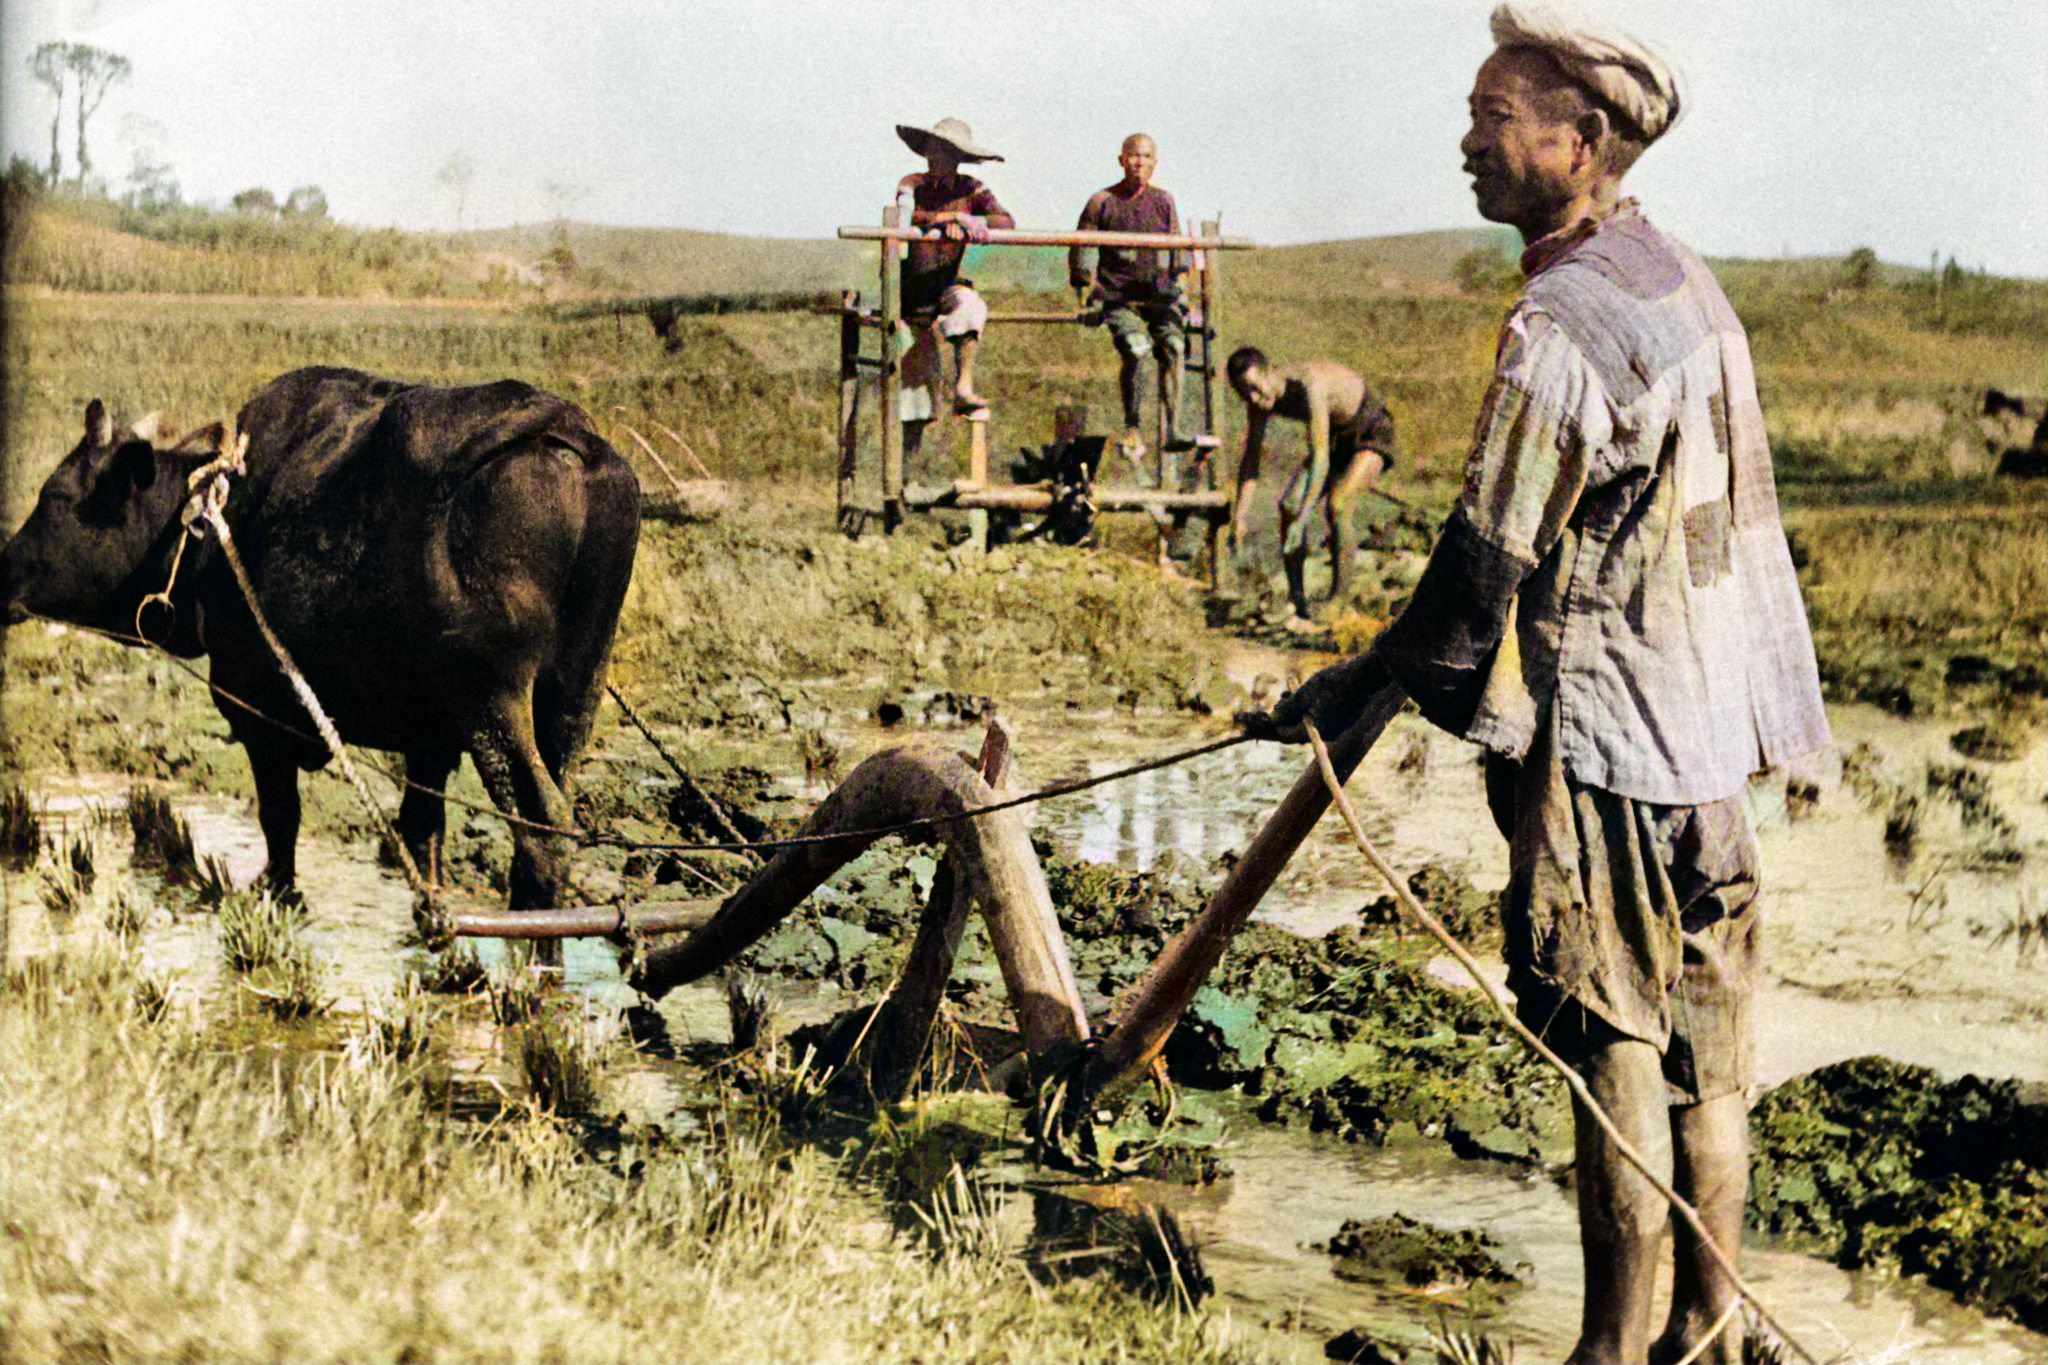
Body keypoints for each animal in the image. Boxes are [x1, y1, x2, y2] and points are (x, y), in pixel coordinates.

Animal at [2, 368, 638, 912]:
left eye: (54, 497)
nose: (2, 573)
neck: (206, 527)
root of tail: (563, 434)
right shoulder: (428, 740)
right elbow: (422, 837)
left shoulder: (258, 716)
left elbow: (280, 822)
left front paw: (278, 895)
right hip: (574, 693)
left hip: (492, 700)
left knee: (540, 827)